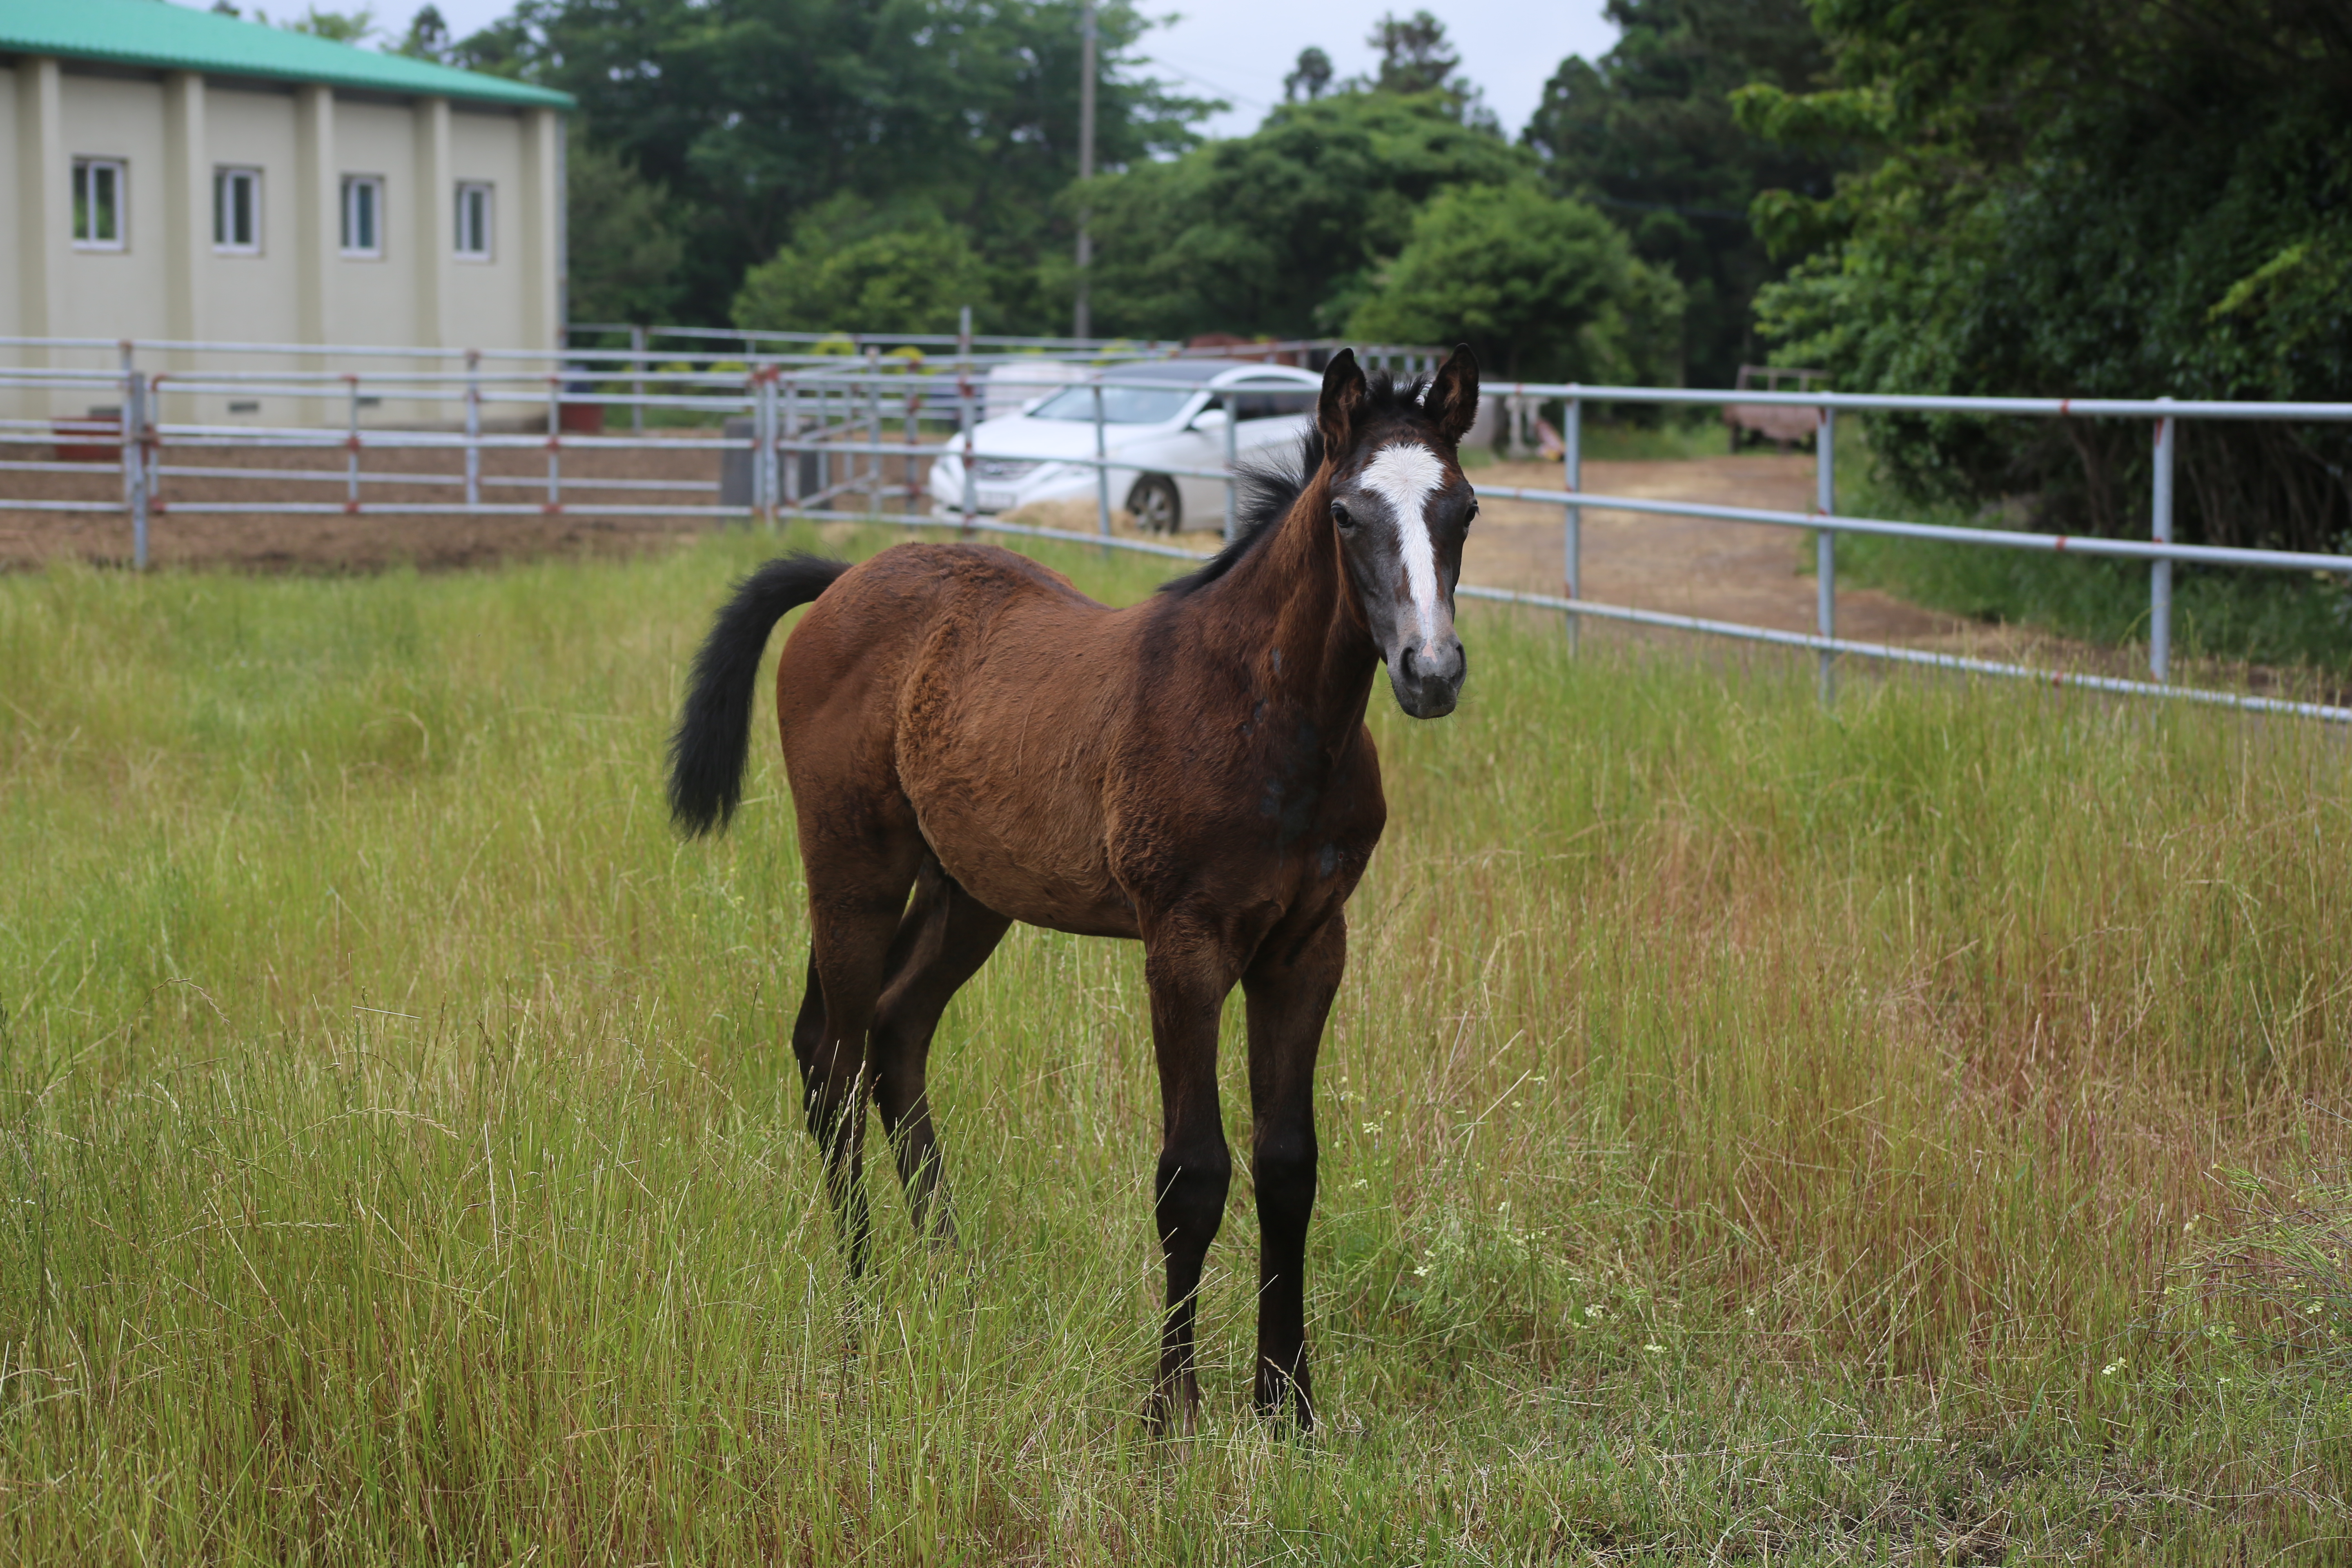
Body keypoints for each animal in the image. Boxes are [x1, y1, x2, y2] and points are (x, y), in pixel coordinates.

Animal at [663, 345, 1477, 1439]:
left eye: (1463, 508)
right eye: (1347, 513)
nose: (1430, 671)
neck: (1269, 716)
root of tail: (845, 580)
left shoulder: (1307, 947)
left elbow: (1288, 1164)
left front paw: (1287, 1406)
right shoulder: (1184, 947)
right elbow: (1192, 1172)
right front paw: (1169, 1411)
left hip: (967, 891)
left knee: (894, 1032)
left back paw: (953, 1278)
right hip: (853, 864)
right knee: (832, 1058)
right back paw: (860, 1299)